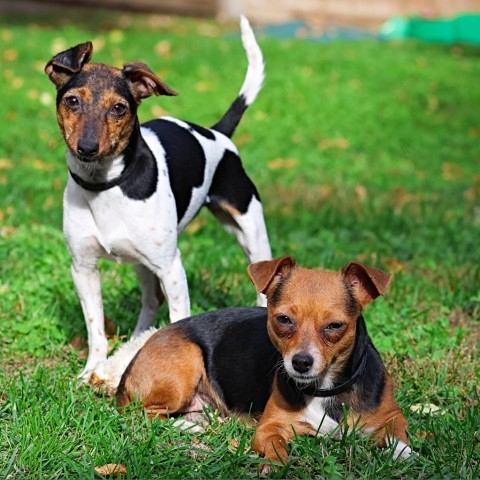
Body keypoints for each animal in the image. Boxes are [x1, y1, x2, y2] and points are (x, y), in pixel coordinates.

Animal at [46, 16, 272, 380]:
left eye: (119, 108)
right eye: (73, 101)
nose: (87, 148)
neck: (106, 186)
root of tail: (218, 133)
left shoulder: (171, 268)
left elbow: (179, 321)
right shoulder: (83, 268)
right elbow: (96, 330)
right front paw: (92, 371)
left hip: (250, 231)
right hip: (141, 262)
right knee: (151, 301)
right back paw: (137, 339)